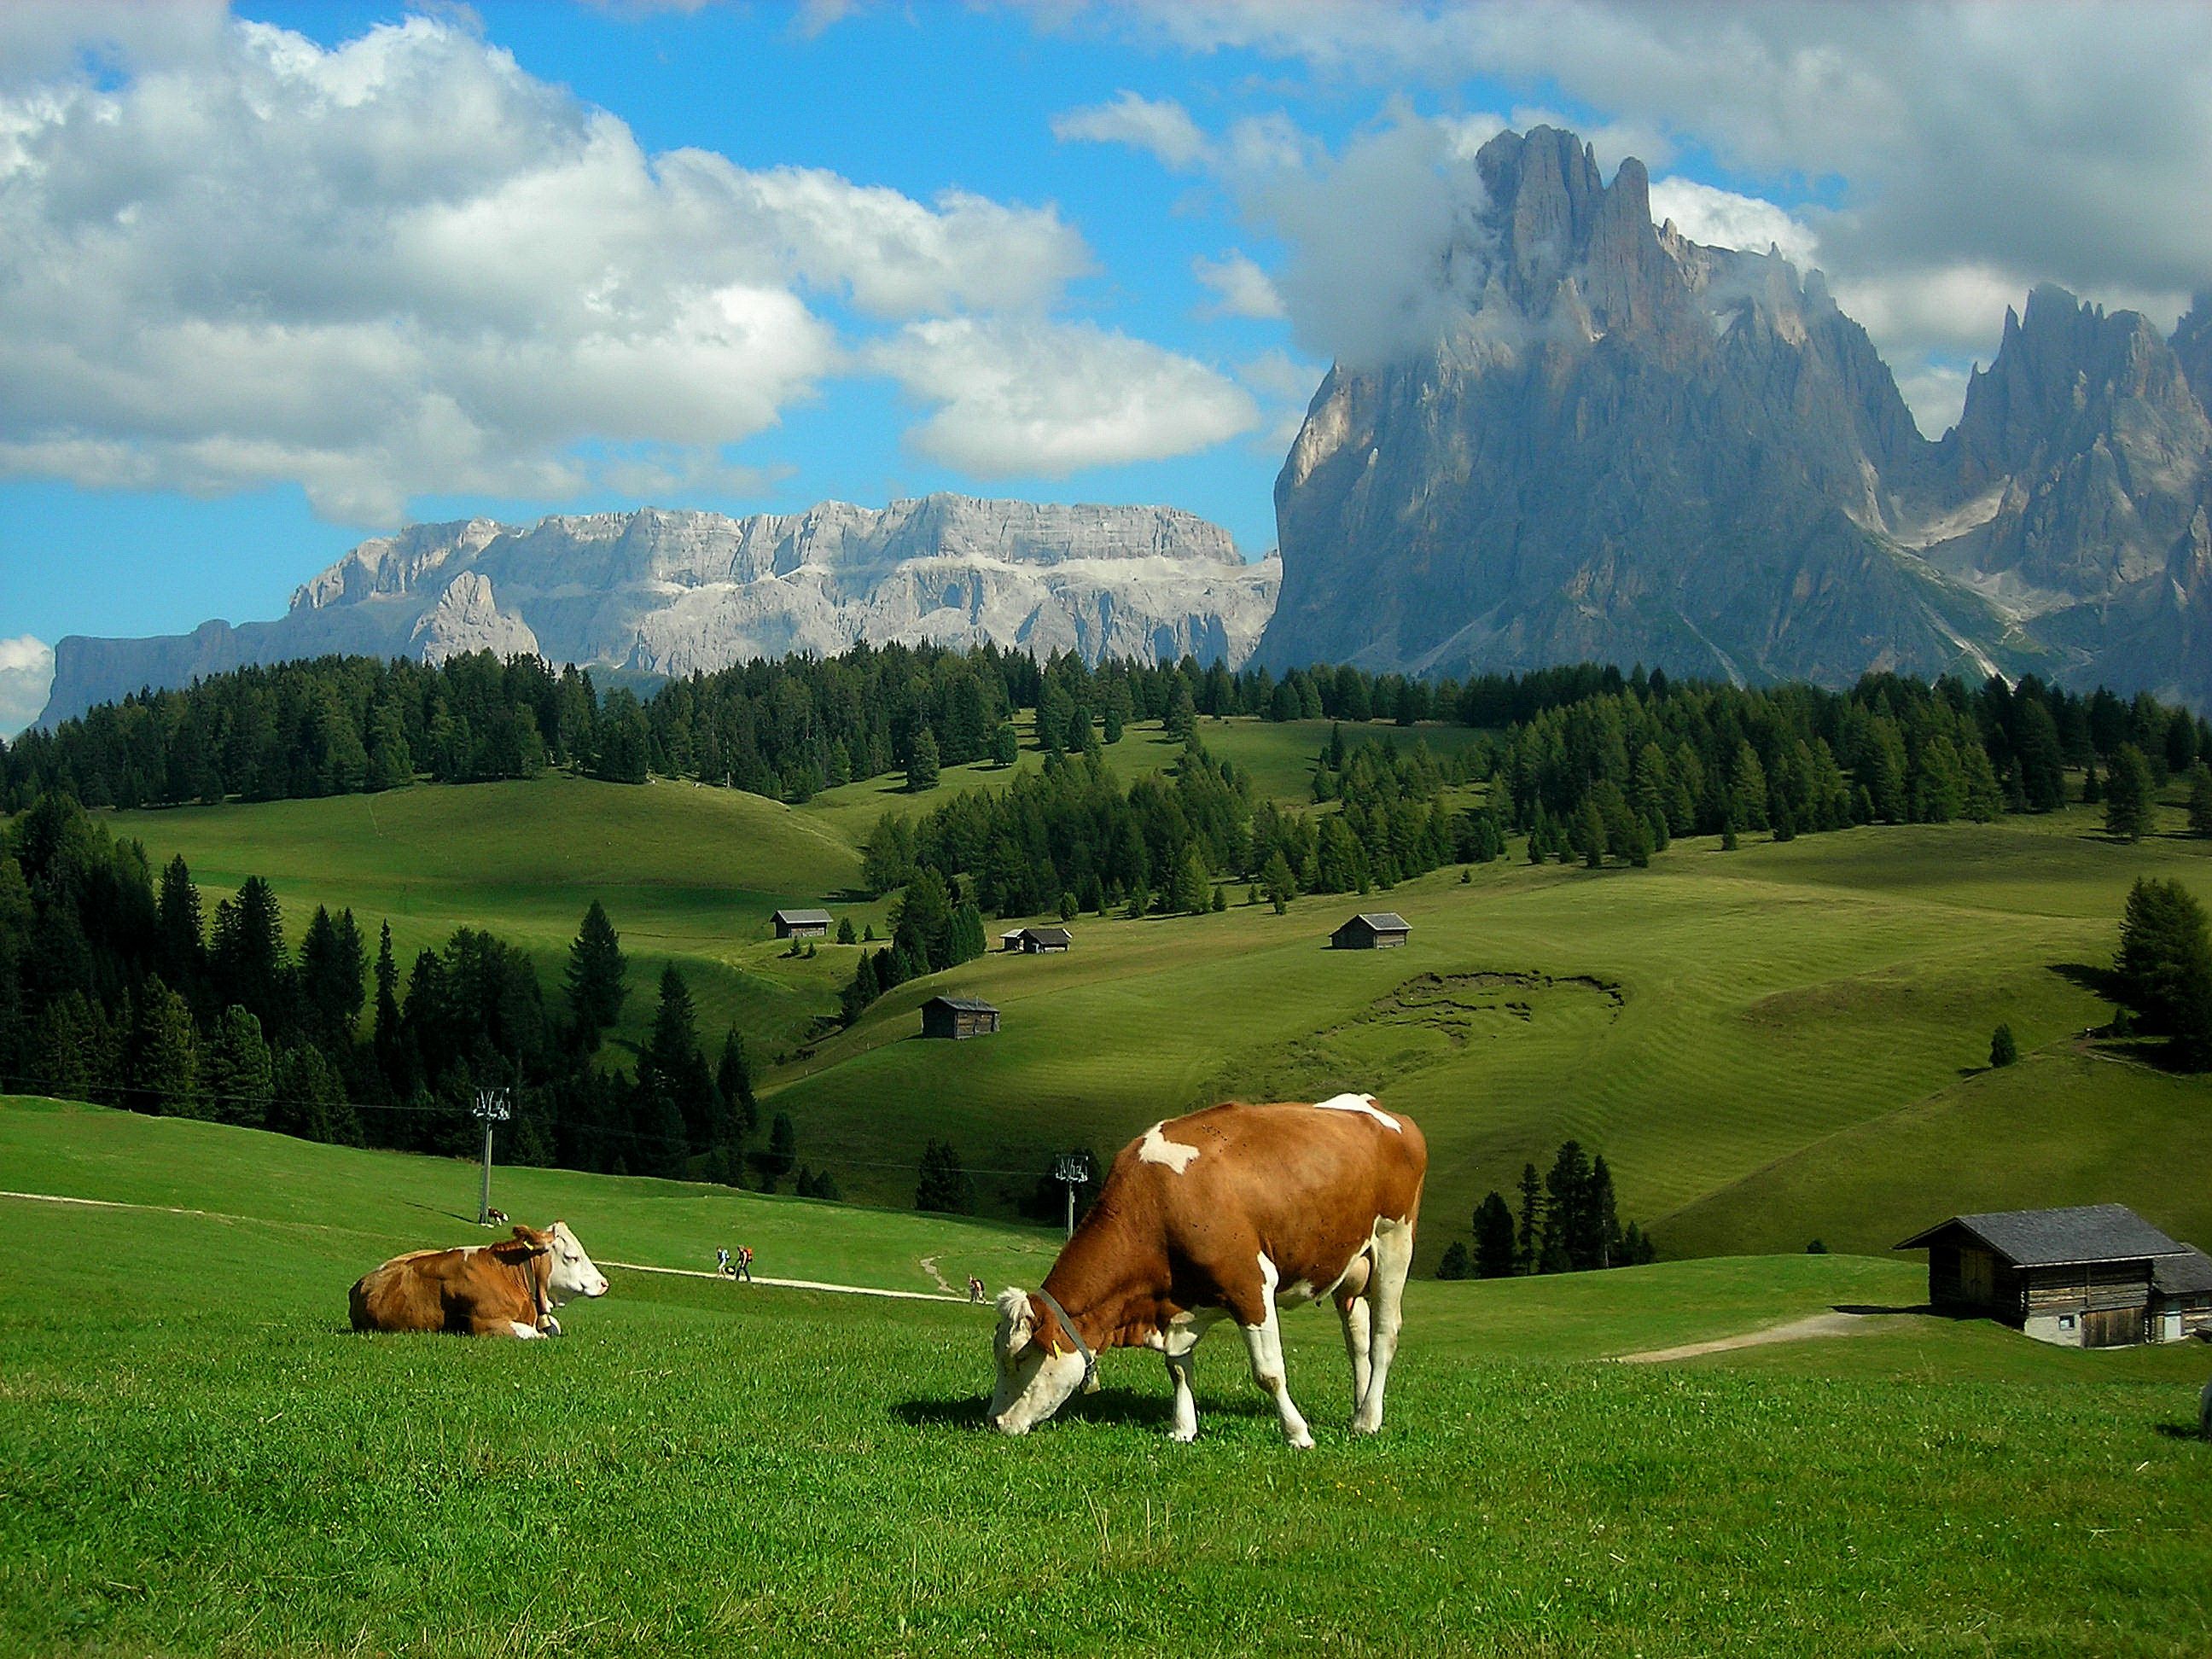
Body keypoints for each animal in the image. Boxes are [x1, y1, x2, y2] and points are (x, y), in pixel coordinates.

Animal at [989, 1094, 1426, 1447]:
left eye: (1020, 1359)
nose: (995, 1422)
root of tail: (1378, 1109)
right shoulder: (1178, 1305)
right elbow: (1178, 1368)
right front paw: (1183, 1428)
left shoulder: (1251, 1284)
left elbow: (1269, 1372)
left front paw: (1297, 1433)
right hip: (1350, 1267)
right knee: (1358, 1342)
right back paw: (1361, 1408)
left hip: (1395, 1242)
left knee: (1384, 1334)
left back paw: (1368, 1419)